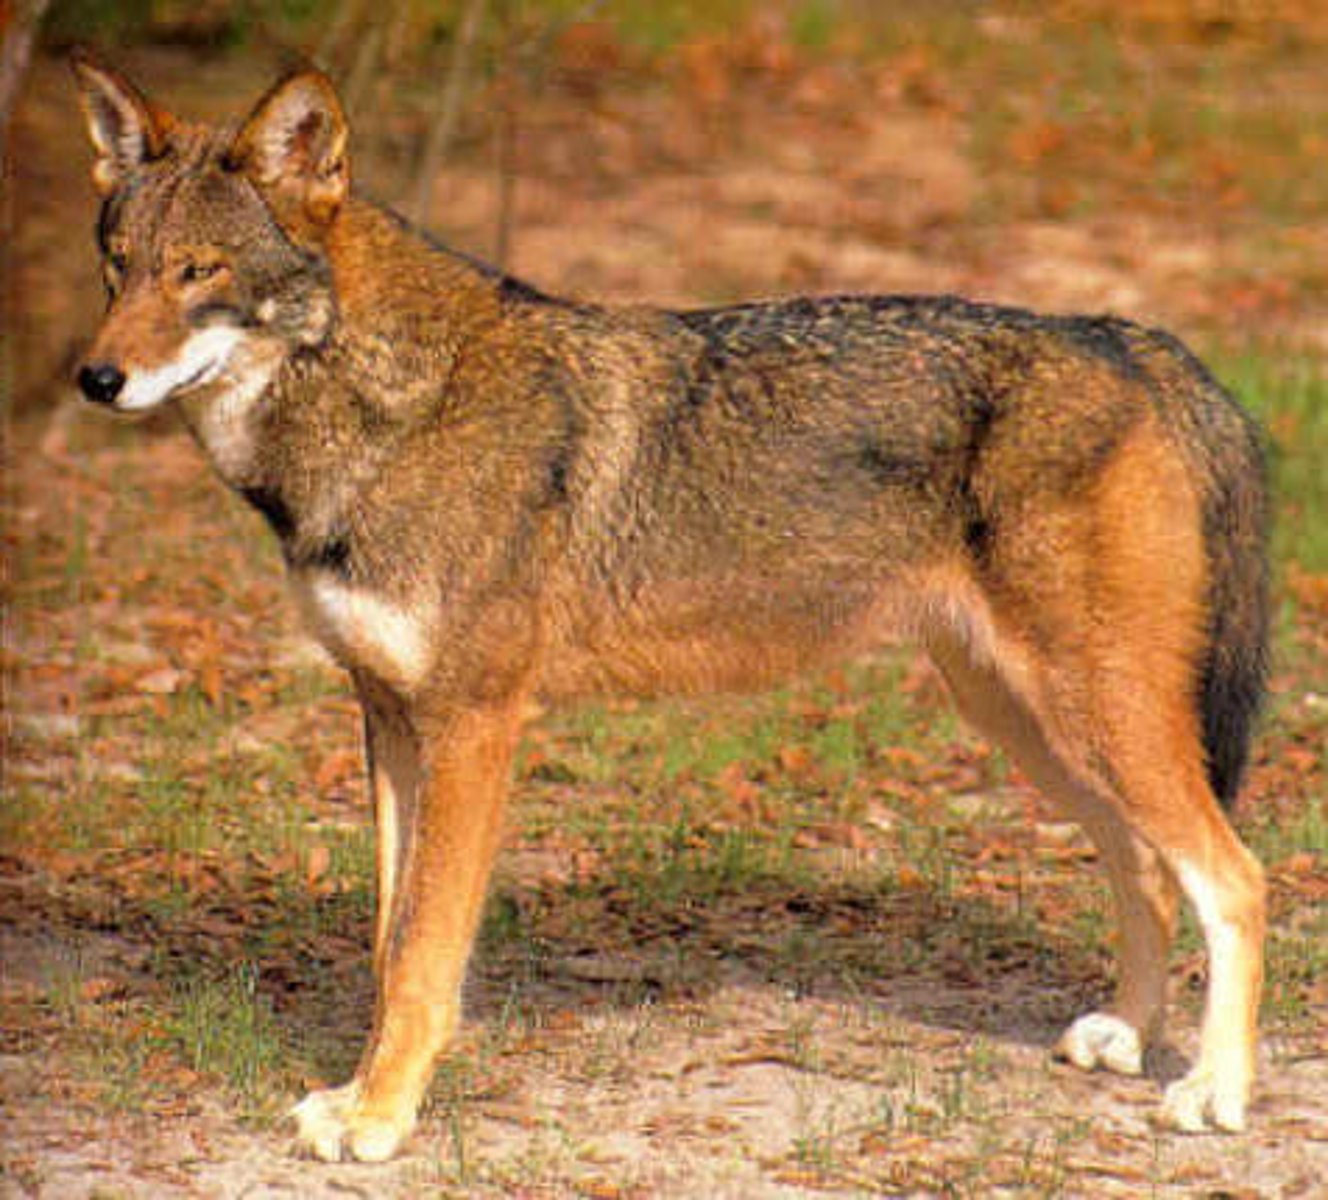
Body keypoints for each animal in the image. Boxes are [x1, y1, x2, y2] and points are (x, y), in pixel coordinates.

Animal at [71, 53, 1270, 1162]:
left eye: (199, 271)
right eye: (116, 267)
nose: (94, 379)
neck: (391, 411)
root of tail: (1129, 338)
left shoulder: (474, 727)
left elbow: (419, 952)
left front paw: (378, 1120)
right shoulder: (388, 720)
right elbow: (388, 939)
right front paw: (364, 1094)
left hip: (1091, 718)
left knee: (1235, 877)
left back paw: (1211, 1093)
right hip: (1030, 725)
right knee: (1149, 871)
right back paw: (1126, 1035)